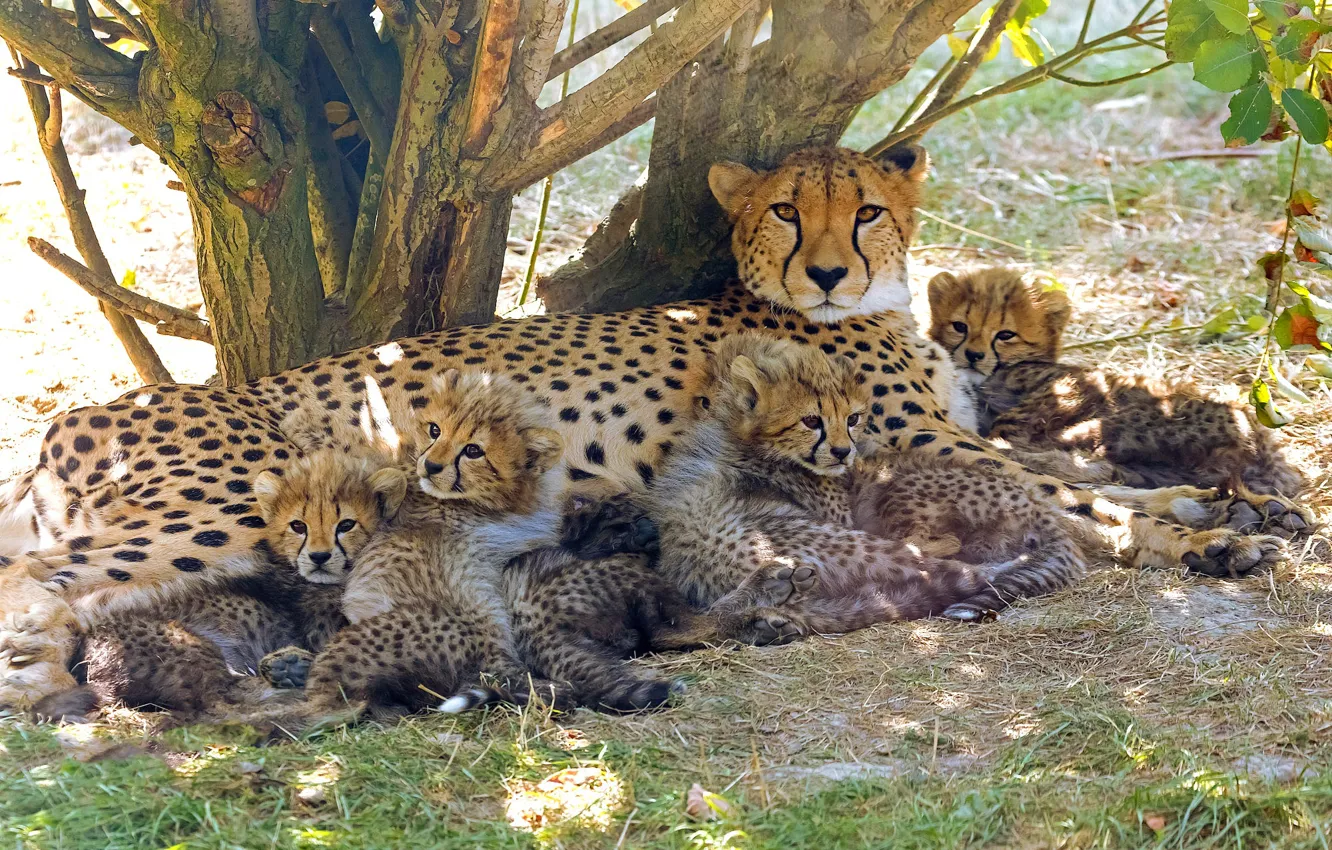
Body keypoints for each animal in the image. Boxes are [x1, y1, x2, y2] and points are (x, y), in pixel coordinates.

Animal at [926, 266, 1311, 539]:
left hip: (1110, 427)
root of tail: (1267, 450)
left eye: (1005, 334)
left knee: (1089, 466)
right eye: (959, 326)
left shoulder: (1066, 390)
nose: (973, 355)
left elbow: (1008, 433)